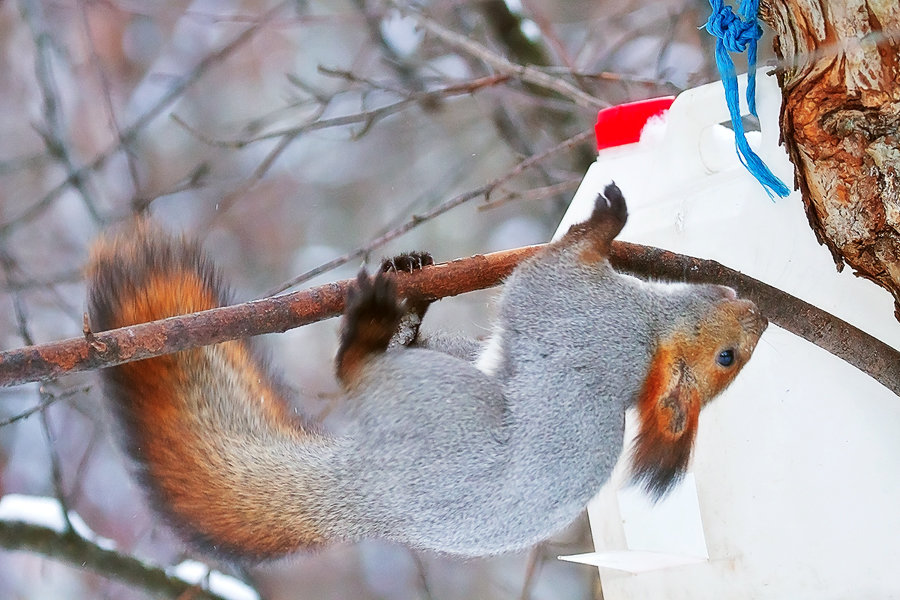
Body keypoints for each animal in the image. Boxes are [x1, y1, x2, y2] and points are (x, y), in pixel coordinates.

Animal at [86, 185, 768, 560]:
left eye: (725, 360)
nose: (758, 314)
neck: (650, 341)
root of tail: (370, 491)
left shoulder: (586, 313)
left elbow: (548, 271)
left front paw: (602, 225)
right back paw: (408, 304)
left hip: (438, 398)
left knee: (355, 371)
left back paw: (368, 333)